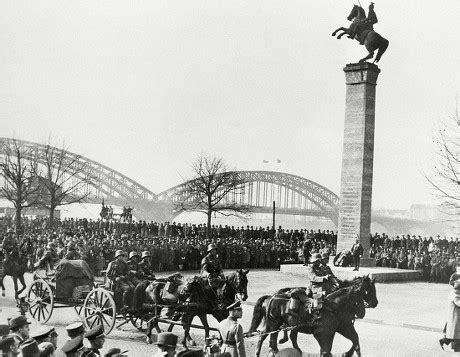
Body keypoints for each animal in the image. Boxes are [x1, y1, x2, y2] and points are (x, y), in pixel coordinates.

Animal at [250, 274, 380, 354]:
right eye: (368, 290)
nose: (375, 303)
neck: (334, 306)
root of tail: (271, 297)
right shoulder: (324, 332)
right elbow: (327, 349)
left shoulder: (343, 327)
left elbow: (355, 339)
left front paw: (348, 353)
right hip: (272, 324)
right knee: (266, 336)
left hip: (279, 324)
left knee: (278, 336)